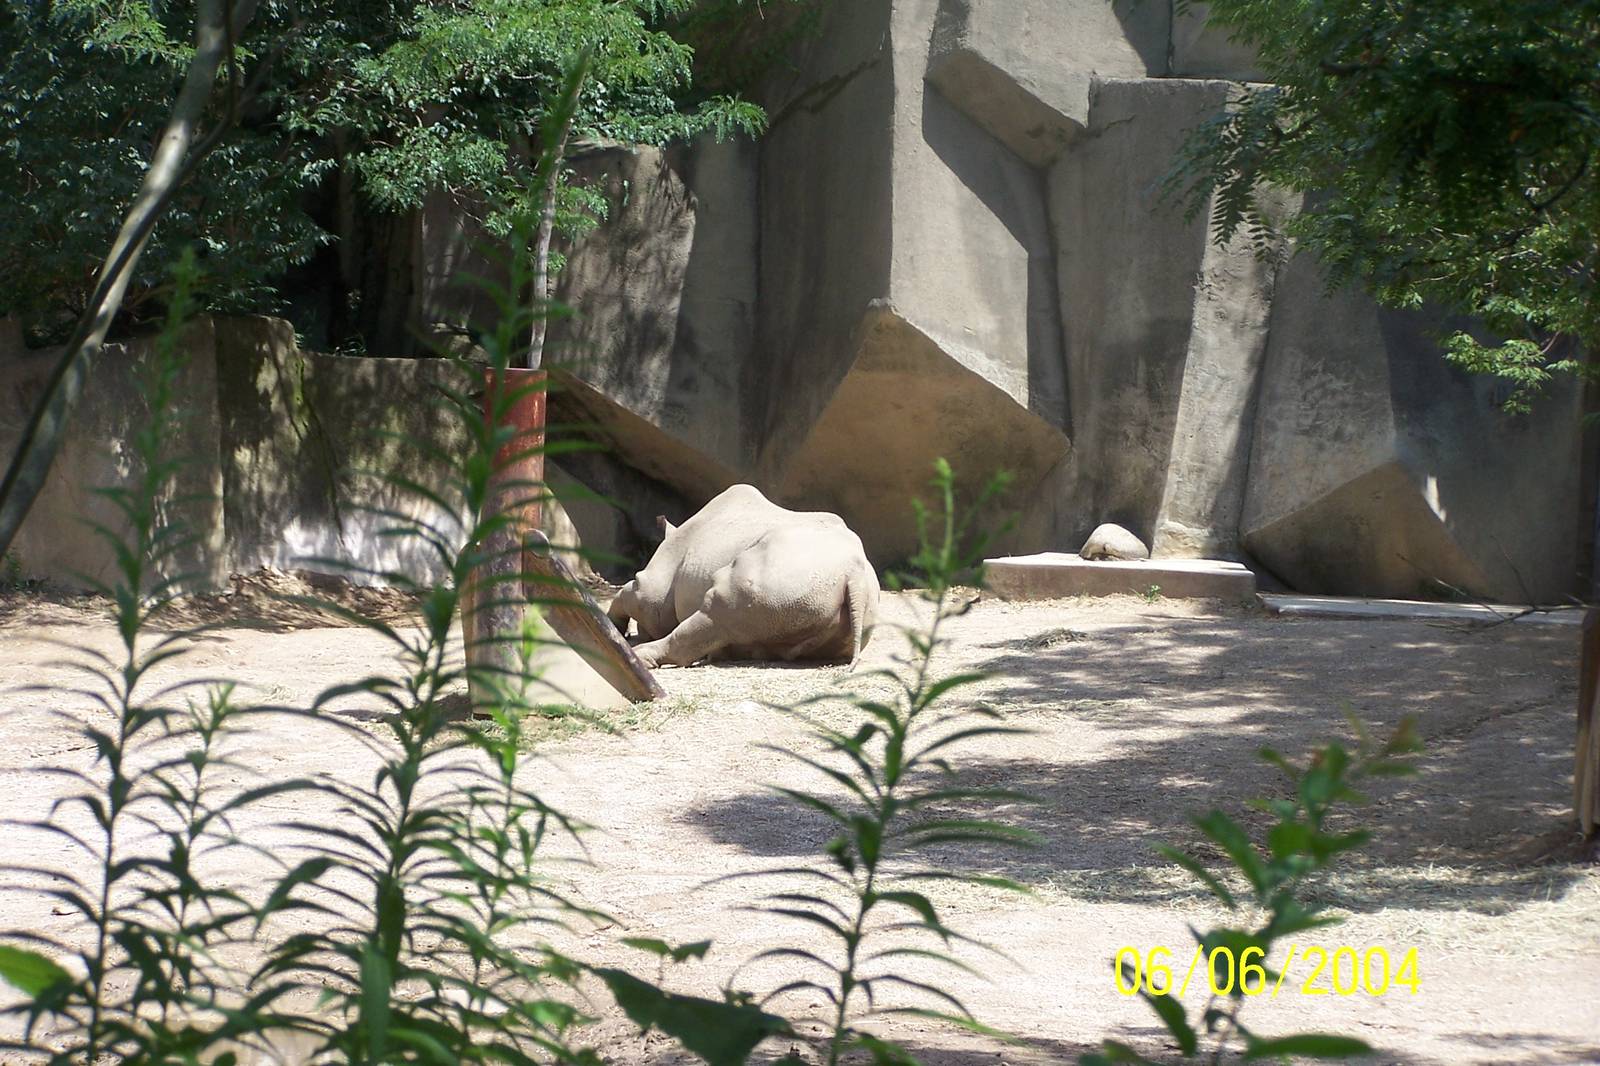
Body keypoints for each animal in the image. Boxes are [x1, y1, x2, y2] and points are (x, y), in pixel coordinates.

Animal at [606, 485, 879, 668]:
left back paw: (641, 656)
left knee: (716, 608)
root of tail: (854, 578)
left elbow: (630, 592)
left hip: (786, 577)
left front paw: (615, 630)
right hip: (806, 594)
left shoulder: (651, 589)